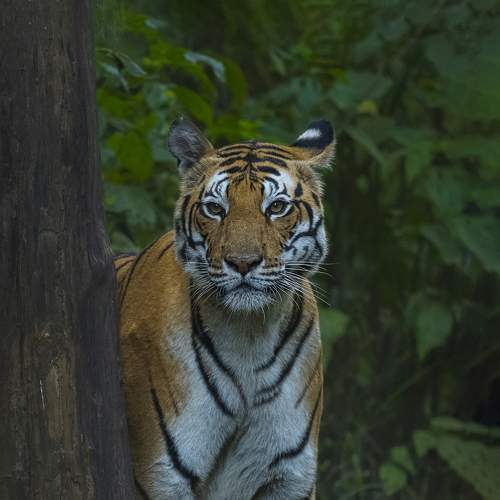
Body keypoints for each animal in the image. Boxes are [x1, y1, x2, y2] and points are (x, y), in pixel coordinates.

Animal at [115, 117, 335, 500]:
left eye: (276, 207)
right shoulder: (159, 475)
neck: (248, 335)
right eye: (215, 209)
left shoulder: (291, 477)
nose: (242, 262)